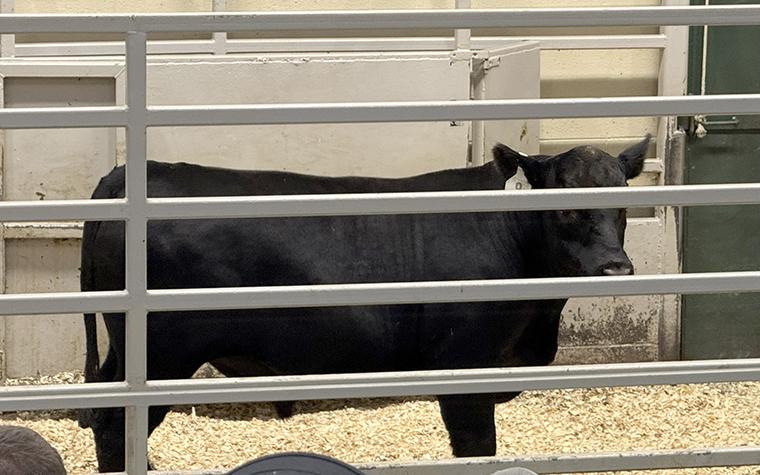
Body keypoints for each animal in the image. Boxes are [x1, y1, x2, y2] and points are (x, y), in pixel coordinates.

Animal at [78, 136, 649, 472]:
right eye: (565, 207)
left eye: (625, 200)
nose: (615, 267)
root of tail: (133, 173)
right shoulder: (464, 369)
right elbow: (475, 449)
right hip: (160, 355)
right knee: (114, 426)